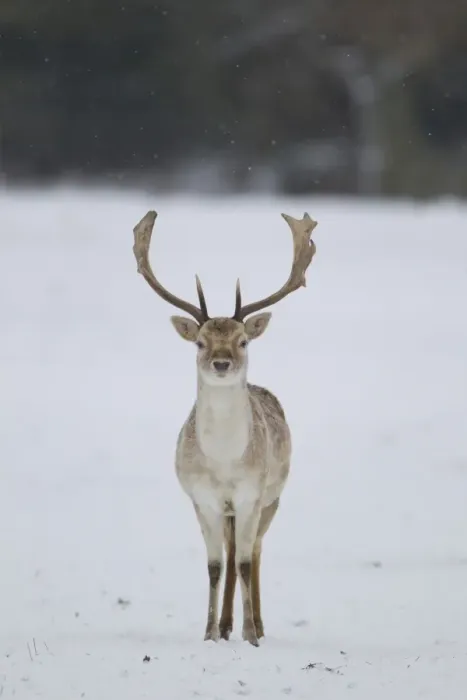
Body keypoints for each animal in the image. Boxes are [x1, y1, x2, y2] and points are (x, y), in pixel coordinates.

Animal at [132, 209, 318, 647]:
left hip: (272, 498)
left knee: (255, 552)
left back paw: (257, 624)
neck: (224, 465)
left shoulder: (252, 494)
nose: (221, 362)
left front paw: (251, 635)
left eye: (243, 341)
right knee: (233, 554)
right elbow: (216, 566)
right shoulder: (202, 499)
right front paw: (210, 633)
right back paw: (228, 623)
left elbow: (247, 563)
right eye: (199, 342)